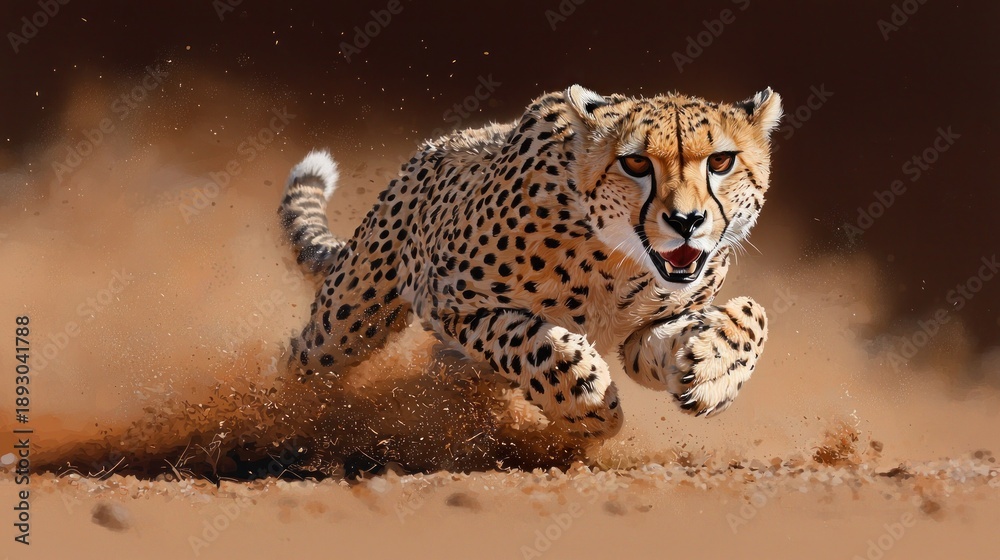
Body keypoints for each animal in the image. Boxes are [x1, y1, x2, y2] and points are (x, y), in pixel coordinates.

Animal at [278, 85, 782, 440]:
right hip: (350, 322)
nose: (686, 221)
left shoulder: (644, 334)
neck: (621, 261)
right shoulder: (450, 304)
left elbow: (753, 314)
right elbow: (534, 342)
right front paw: (586, 404)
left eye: (720, 161)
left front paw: (714, 367)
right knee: (301, 361)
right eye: (636, 164)